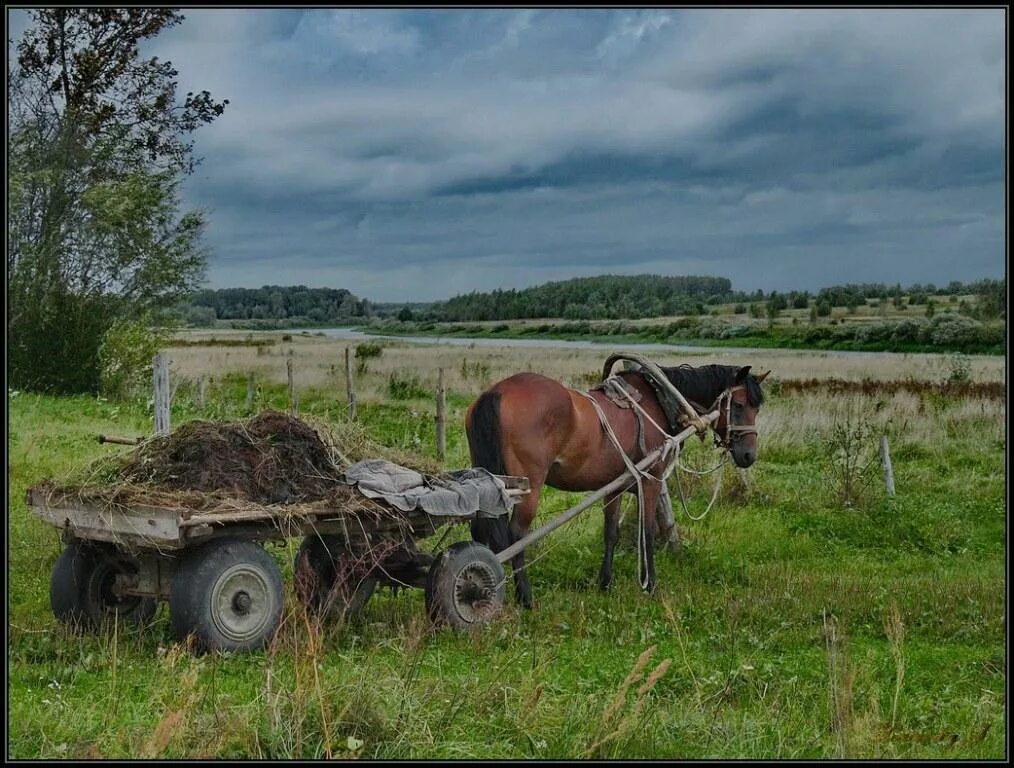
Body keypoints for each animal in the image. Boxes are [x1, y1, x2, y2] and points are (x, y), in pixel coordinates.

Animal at [466, 363, 766, 608]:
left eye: (757, 407)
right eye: (739, 404)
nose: (748, 456)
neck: (658, 400)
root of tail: (497, 392)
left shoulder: (614, 487)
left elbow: (611, 533)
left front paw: (605, 583)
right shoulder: (651, 481)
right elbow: (647, 531)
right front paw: (650, 584)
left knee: (480, 530)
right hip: (528, 487)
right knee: (516, 535)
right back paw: (525, 598)